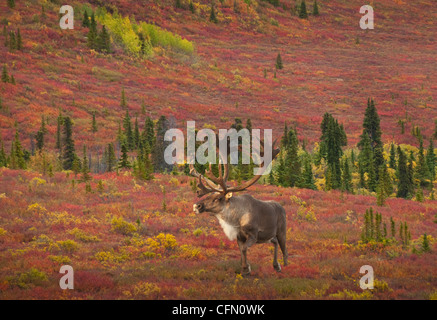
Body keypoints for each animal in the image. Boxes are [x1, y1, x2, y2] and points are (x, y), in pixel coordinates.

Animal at [188, 139, 286, 276]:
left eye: (218, 198)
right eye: (210, 194)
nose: (196, 205)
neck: (236, 220)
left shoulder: (253, 235)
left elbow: (244, 249)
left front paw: (246, 269)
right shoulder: (239, 237)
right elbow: (241, 250)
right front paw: (245, 267)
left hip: (280, 231)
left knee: (282, 246)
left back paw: (284, 265)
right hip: (267, 236)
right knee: (275, 242)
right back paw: (276, 265)